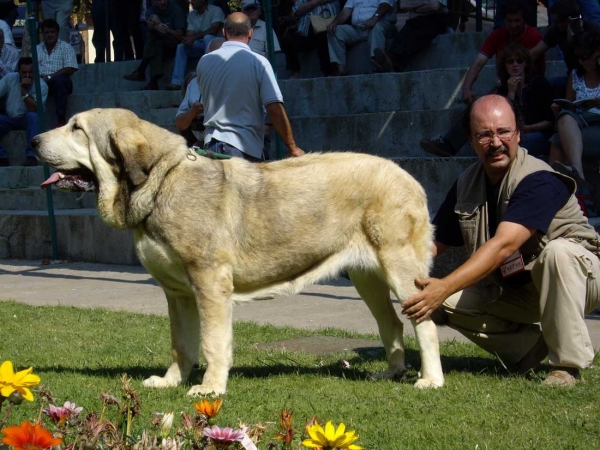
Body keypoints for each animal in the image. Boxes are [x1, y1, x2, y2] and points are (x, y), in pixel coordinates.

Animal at [32, 108, 446, 394]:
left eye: (77, 128)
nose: (34, 141)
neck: (162, 181)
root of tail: (409, 177)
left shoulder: (210, 283)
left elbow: (212, 342)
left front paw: (210, 389)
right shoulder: (177, 293)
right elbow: (181, 344)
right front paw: (171, 382)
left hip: (399, 269)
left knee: (422, 322)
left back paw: (430, 380)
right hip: (367, 277)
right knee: (391, 323)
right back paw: (391, 372)